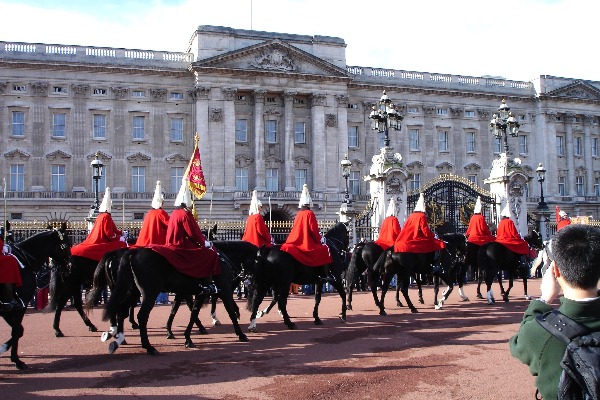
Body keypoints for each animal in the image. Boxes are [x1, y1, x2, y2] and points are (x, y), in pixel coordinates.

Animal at [1, 227, 69, 370]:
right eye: (66, 245)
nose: (69, 266)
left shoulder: (7, 308)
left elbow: (18, 330)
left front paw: (7, 350)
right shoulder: (20, 304)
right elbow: (17, 330)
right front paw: (16, 359)